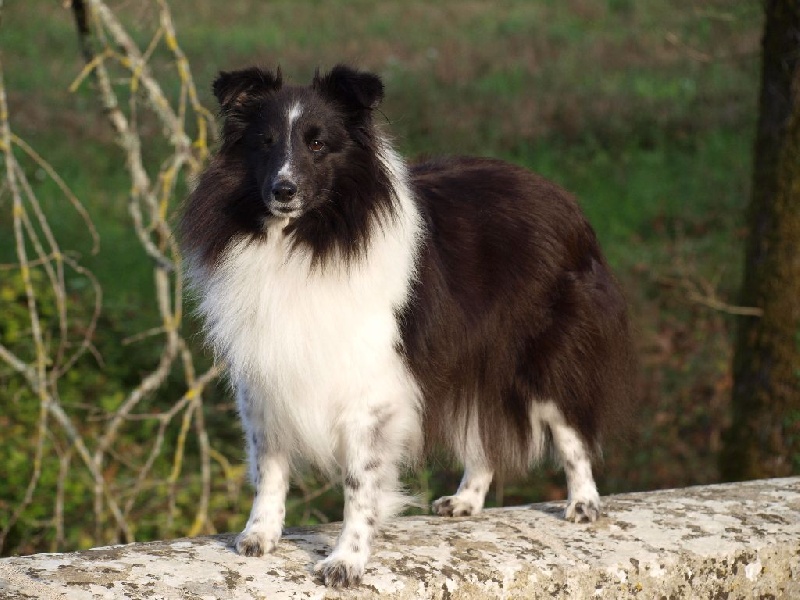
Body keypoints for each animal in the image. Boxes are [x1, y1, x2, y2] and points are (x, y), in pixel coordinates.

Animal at [178, 64, 636, 584]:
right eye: (265, 142)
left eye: (318, 144)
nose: (283, 190)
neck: (307, 238)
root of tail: (562, 197)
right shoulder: (267, 376)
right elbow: (269, 465)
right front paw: (260, 535)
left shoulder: (368, 387)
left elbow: (359, 482)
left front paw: (346, 561)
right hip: (474, 358)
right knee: (483, 434)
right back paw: (465, 500)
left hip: (540, 356)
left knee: (569, 428)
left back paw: (583, 504)